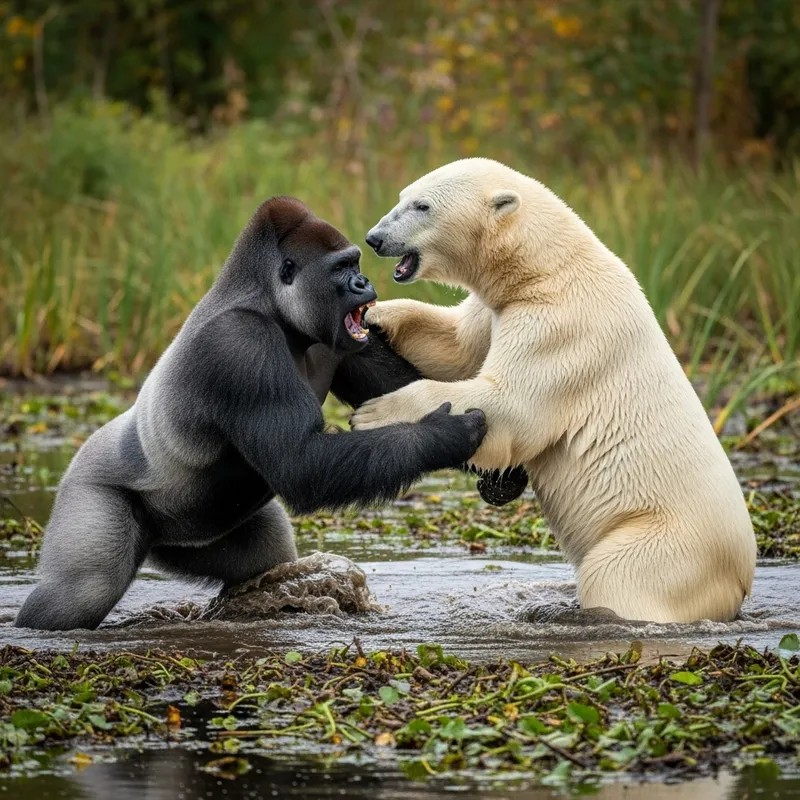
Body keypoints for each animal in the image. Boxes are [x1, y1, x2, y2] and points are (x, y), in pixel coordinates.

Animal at [352, 157, 757, 624]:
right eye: (403, 196)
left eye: (423, 205)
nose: (375, 237)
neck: (549, 268)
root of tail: (740, 580)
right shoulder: (499, 308)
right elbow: (456, 345)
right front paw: (376, 314)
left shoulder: (561, 326)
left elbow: (509, 403)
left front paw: (374, 413)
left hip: (669, 545)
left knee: (620, 578)